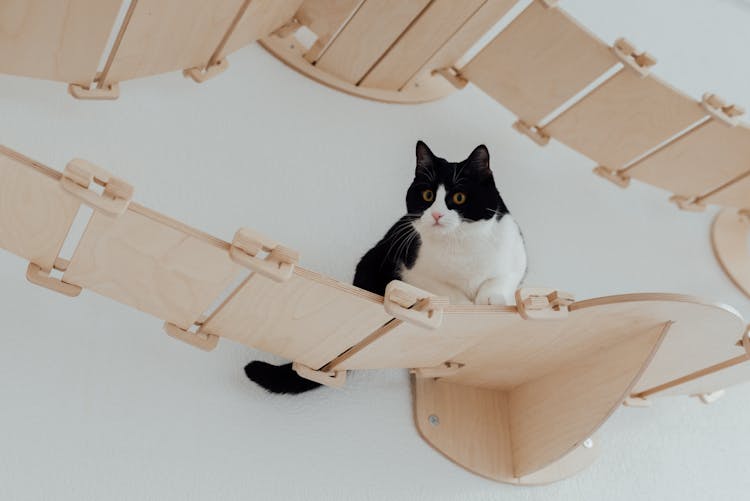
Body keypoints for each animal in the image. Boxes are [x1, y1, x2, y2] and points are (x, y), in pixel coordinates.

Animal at [247, 142, 528, 394]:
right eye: (427, 196)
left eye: (459, 197)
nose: (436, 215)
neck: (461, 246)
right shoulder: (409, 267)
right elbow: (444, 290)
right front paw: (465, 303)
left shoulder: (517, 250)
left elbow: (503, 276)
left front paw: (490, 297)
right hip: (371, 261)